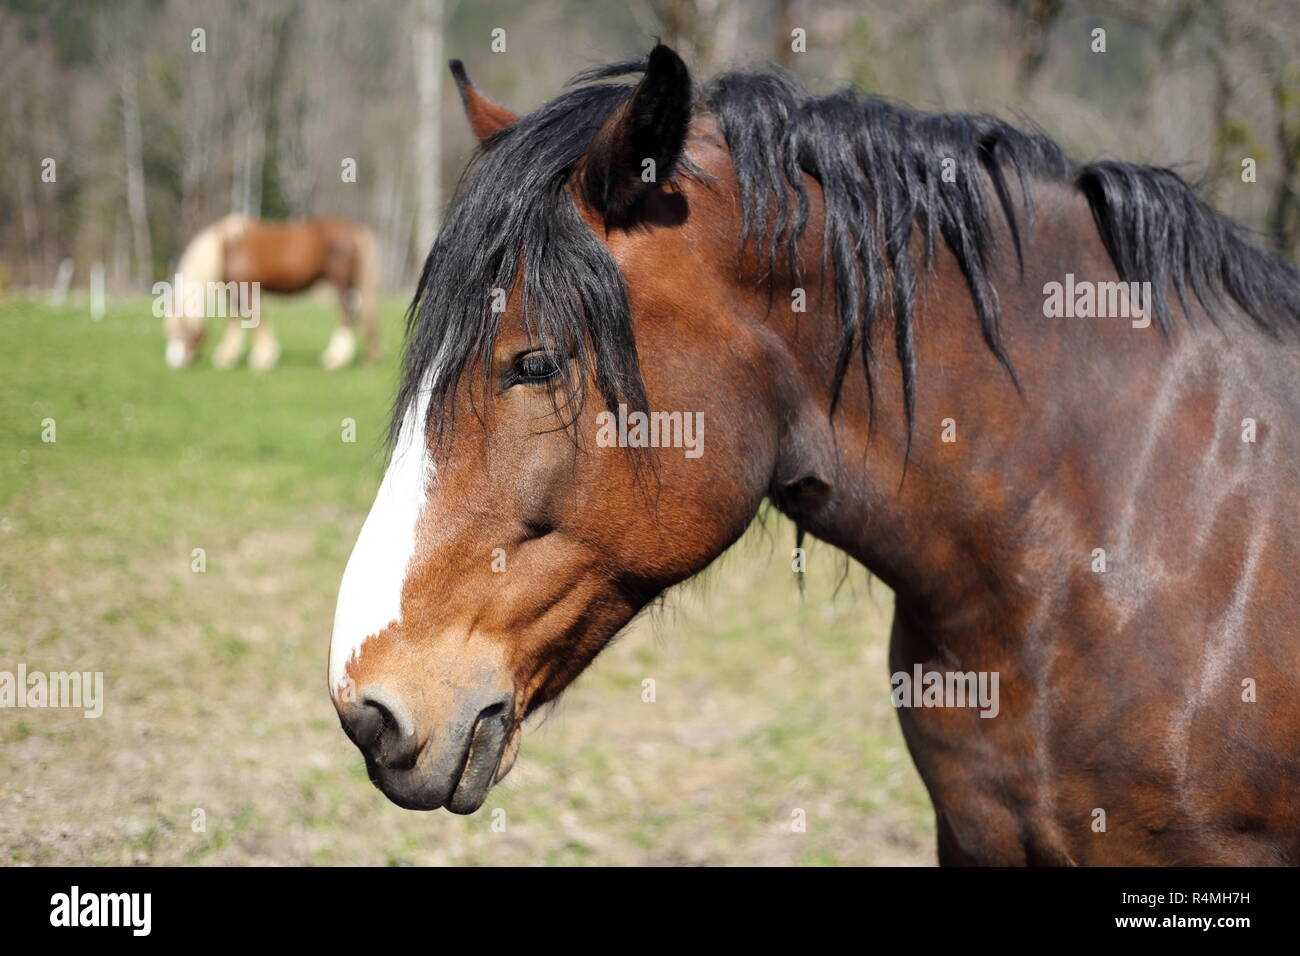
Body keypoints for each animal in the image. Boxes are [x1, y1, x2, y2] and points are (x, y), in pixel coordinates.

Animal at [163, 214, 379, 371]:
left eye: (180, 332)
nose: (173, 362)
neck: (228, 247)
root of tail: (354, 230)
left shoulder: (247, 289)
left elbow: (255, 319)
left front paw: (262, 359)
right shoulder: (237, 291)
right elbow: (235, 320)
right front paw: (228, 356)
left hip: (341, 283)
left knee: (346, 314)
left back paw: (336, 359)